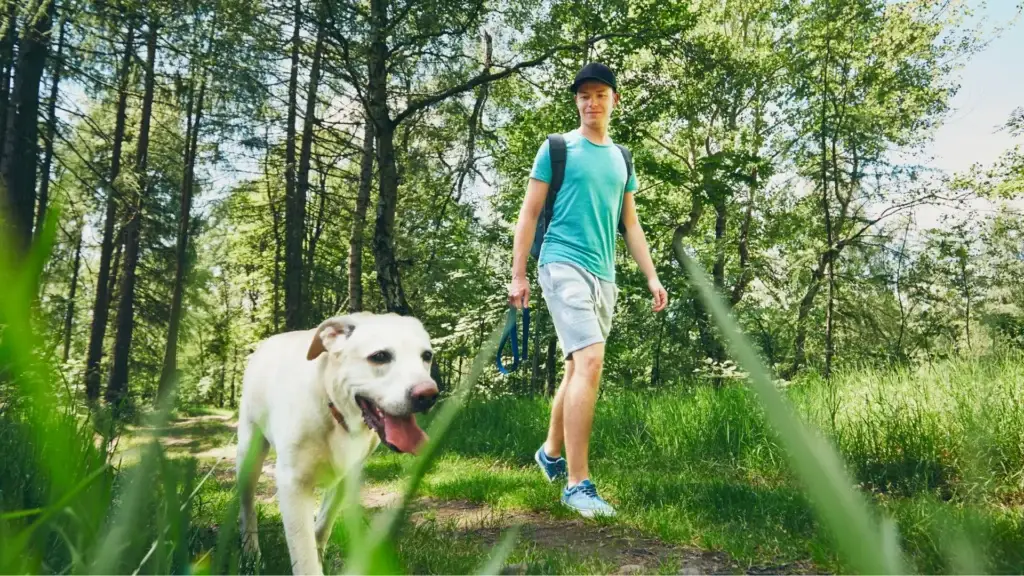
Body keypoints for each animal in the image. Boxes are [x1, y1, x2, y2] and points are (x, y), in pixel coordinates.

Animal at [236, 311, 440, 569]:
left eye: (427, 356)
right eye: (380, 356)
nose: (428, 395)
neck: (335, 413)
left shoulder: (348, 475)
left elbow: (322, 526)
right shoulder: (293, 485)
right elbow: (305, 557)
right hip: (248, 458)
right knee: (247, 508)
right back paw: (251, 555)